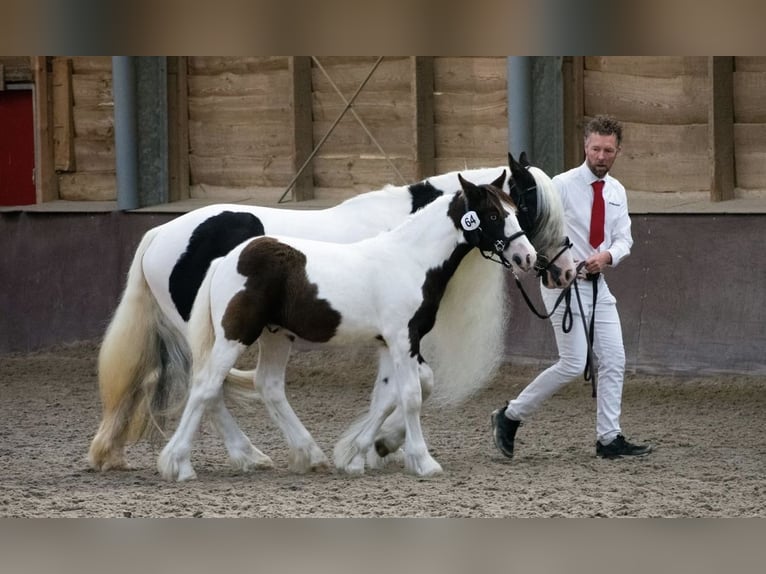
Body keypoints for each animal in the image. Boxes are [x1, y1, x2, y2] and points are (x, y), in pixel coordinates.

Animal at [88, 153, 575, 473]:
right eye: (523, 205)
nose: (558, 267)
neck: (405, 248)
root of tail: (159, 233)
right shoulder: (399, 337)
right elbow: (411, 390)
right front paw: (392, 451)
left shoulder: (394, 339)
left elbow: (395, 392)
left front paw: (364, 450)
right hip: (227, 333)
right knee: (208, 386)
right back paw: (214, 459)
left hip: (267, 334)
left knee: (249, 386)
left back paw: (299, 454)